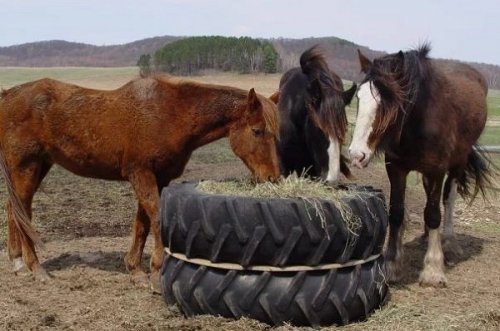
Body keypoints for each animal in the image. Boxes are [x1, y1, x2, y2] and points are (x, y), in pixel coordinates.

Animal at [0, 74, 282, 290]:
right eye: (257, 131)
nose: (273, 178)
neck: (170, 114)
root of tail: (8, 95)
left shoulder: (158, 177)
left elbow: (142, 224)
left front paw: (136, 270)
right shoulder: (141, 174)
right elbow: (156, 219)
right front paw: (156, 274)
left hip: (39, 166)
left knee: (14, 210)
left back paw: (18, 262)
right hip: (26, 167)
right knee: (21, 212)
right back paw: (36, 268)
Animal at [350, 44, 494, 288]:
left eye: (389, 102)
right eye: (359, 97)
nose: (356, 154)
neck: (419, 122)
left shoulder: (437, 170)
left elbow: (434, 213)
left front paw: (433, 270)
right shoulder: (396, 169)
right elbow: (396, 213)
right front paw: (392, 264)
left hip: (457, 162)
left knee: (448, 199)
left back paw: (449, 243)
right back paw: (427, 236)